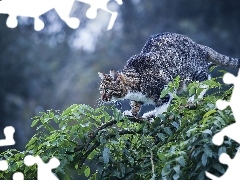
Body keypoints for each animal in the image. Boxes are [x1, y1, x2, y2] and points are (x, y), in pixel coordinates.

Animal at [98, 32, 240, 118]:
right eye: (101, 90)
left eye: (107, 90)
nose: (103, 98)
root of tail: (198, 46)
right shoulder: (138, 98)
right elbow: (136, 105)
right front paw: (133, 112)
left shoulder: (164, 91)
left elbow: (161, 108)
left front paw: (156, 117)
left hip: (190, 74)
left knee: (205, 79)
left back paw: (193, 98)